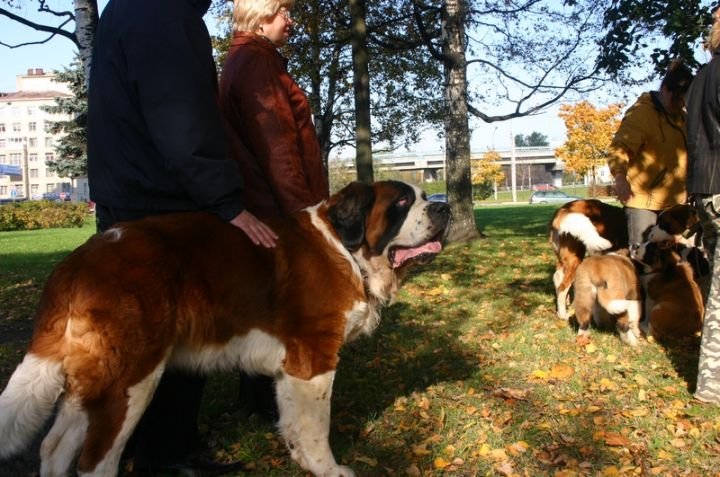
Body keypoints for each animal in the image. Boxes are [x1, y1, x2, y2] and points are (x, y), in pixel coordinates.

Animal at [0, 181, 451, 477]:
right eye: (403, 201)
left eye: (423, 196)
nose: (443, 208)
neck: (346, 248)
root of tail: (77, 261)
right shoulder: (314, 358)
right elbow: (316, 426)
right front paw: (330, 469)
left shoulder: (291, 368)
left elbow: (295, 423)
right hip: (131, 379)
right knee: (96, 461)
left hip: (94, 375)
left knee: (54, 448)